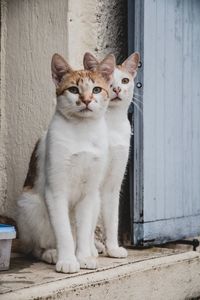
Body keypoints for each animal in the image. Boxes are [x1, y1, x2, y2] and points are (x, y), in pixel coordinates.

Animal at [83, 51, 140, 258]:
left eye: (125, 80)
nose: (116, 88)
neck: (112, 124)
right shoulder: (92, 181)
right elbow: (88, 220)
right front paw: (89, 252)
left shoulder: (113, 183)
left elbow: (112, 219)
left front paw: (113, 248)